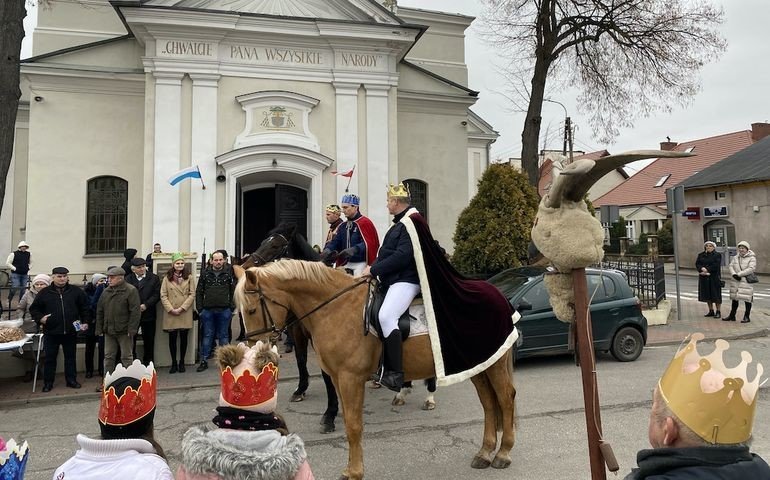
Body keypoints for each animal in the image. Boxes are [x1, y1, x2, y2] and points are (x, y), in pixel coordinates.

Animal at [231, 258, 512, 480]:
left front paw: (355, 472)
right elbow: (347, 422)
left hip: (494, 365)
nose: (255, 353)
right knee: (489, 404)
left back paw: (503, 453)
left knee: (505, 400)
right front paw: (349, 467)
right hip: (477, 366)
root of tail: (500, 294)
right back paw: (485, 453)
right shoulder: (338, 379)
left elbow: (355, 426)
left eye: (252, 309)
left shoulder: (350, 378)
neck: (335, 308)